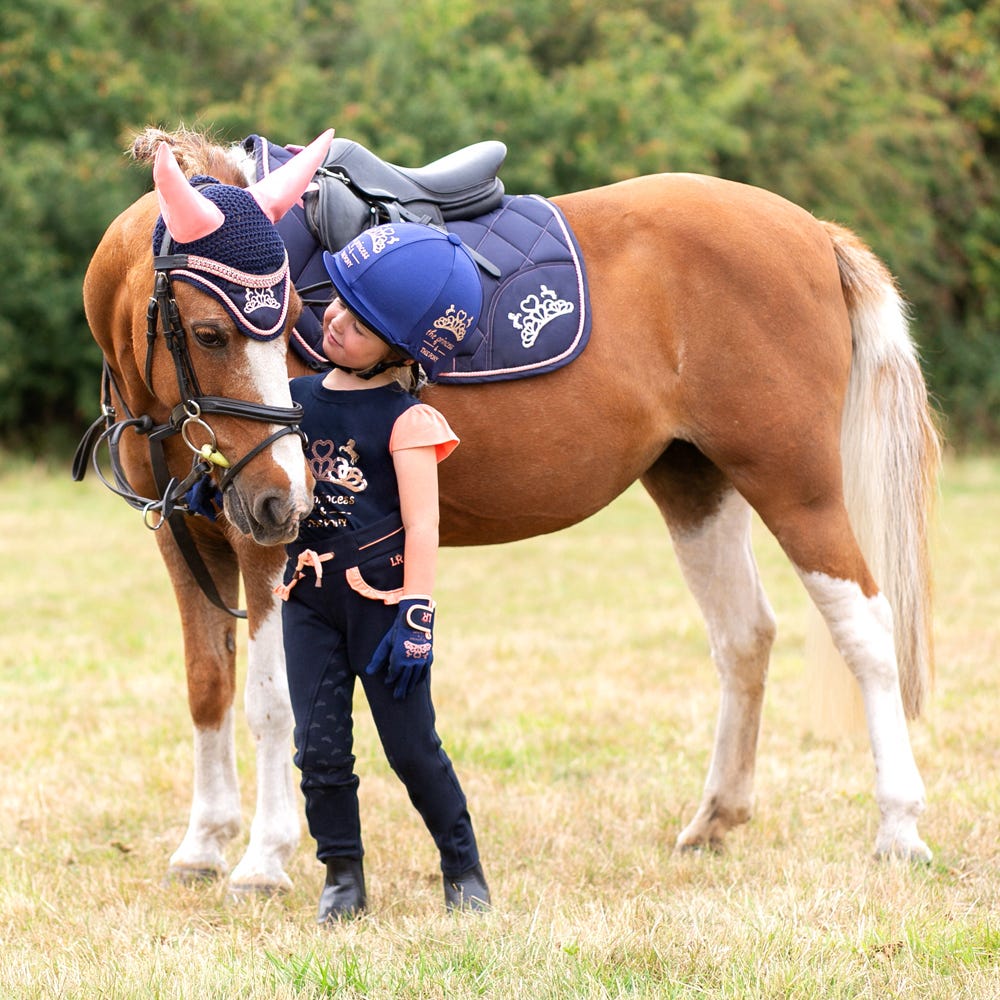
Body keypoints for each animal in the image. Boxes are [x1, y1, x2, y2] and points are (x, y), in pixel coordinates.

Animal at [78, 127, 936, 900]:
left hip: (795, 484)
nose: (282, 496)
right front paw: (202, 844)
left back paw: (899, 827)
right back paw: (715, 819)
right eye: (209, 332)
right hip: (696, 483)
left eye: (288, 320)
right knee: (744, 636)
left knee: (866, 632)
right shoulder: (190, 541)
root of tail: (812, 232)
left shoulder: (266, 551)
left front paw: (263, 858)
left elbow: (268, 702)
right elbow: (207, 685)